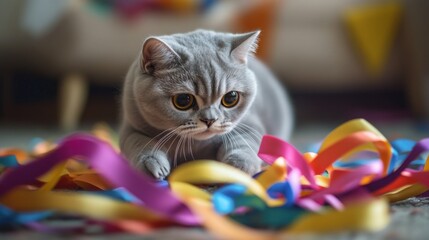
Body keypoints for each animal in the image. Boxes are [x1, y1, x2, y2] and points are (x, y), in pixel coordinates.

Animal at [118, 30, 292, 179]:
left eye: (231, 98)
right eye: (183, 100)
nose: (210, 120)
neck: (197, 146)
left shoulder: (251, 124)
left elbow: (245, 142)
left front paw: (238, 165)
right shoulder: (131, 128)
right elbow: (139, 143)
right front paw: (152, 163)